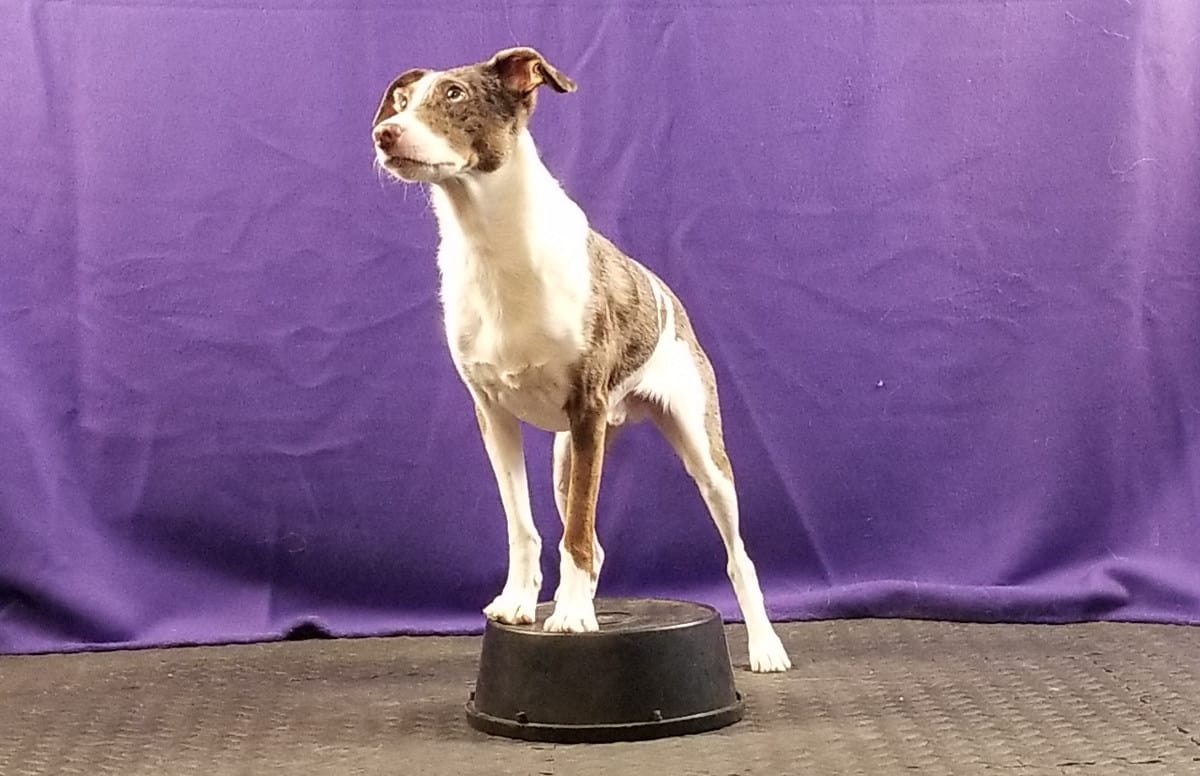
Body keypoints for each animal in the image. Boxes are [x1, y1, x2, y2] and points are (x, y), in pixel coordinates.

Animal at [369, 47, 792, 671]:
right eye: (400, 101)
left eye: (454, 95)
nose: (384, 134)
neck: (495, 246)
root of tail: (669, 299)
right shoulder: (494, 414)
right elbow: (525, 527)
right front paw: (521, 603)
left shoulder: (587, 408)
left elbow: (576, 536)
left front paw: (570, 616)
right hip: (567, 460)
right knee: (591, 534)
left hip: (701, 452)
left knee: (737, 555)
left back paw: (765, 648)